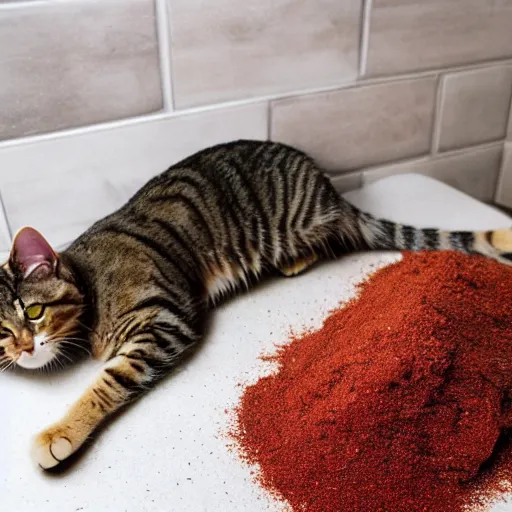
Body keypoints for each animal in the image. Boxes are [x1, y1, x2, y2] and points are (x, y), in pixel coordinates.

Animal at [0, 138, 510, 470]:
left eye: (33, 312)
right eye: (2, 333)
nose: (22, 348)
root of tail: (326, 186)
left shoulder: (164, 320)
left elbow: (107, 382)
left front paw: (60, 433)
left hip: (295, 224)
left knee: (334, 236)